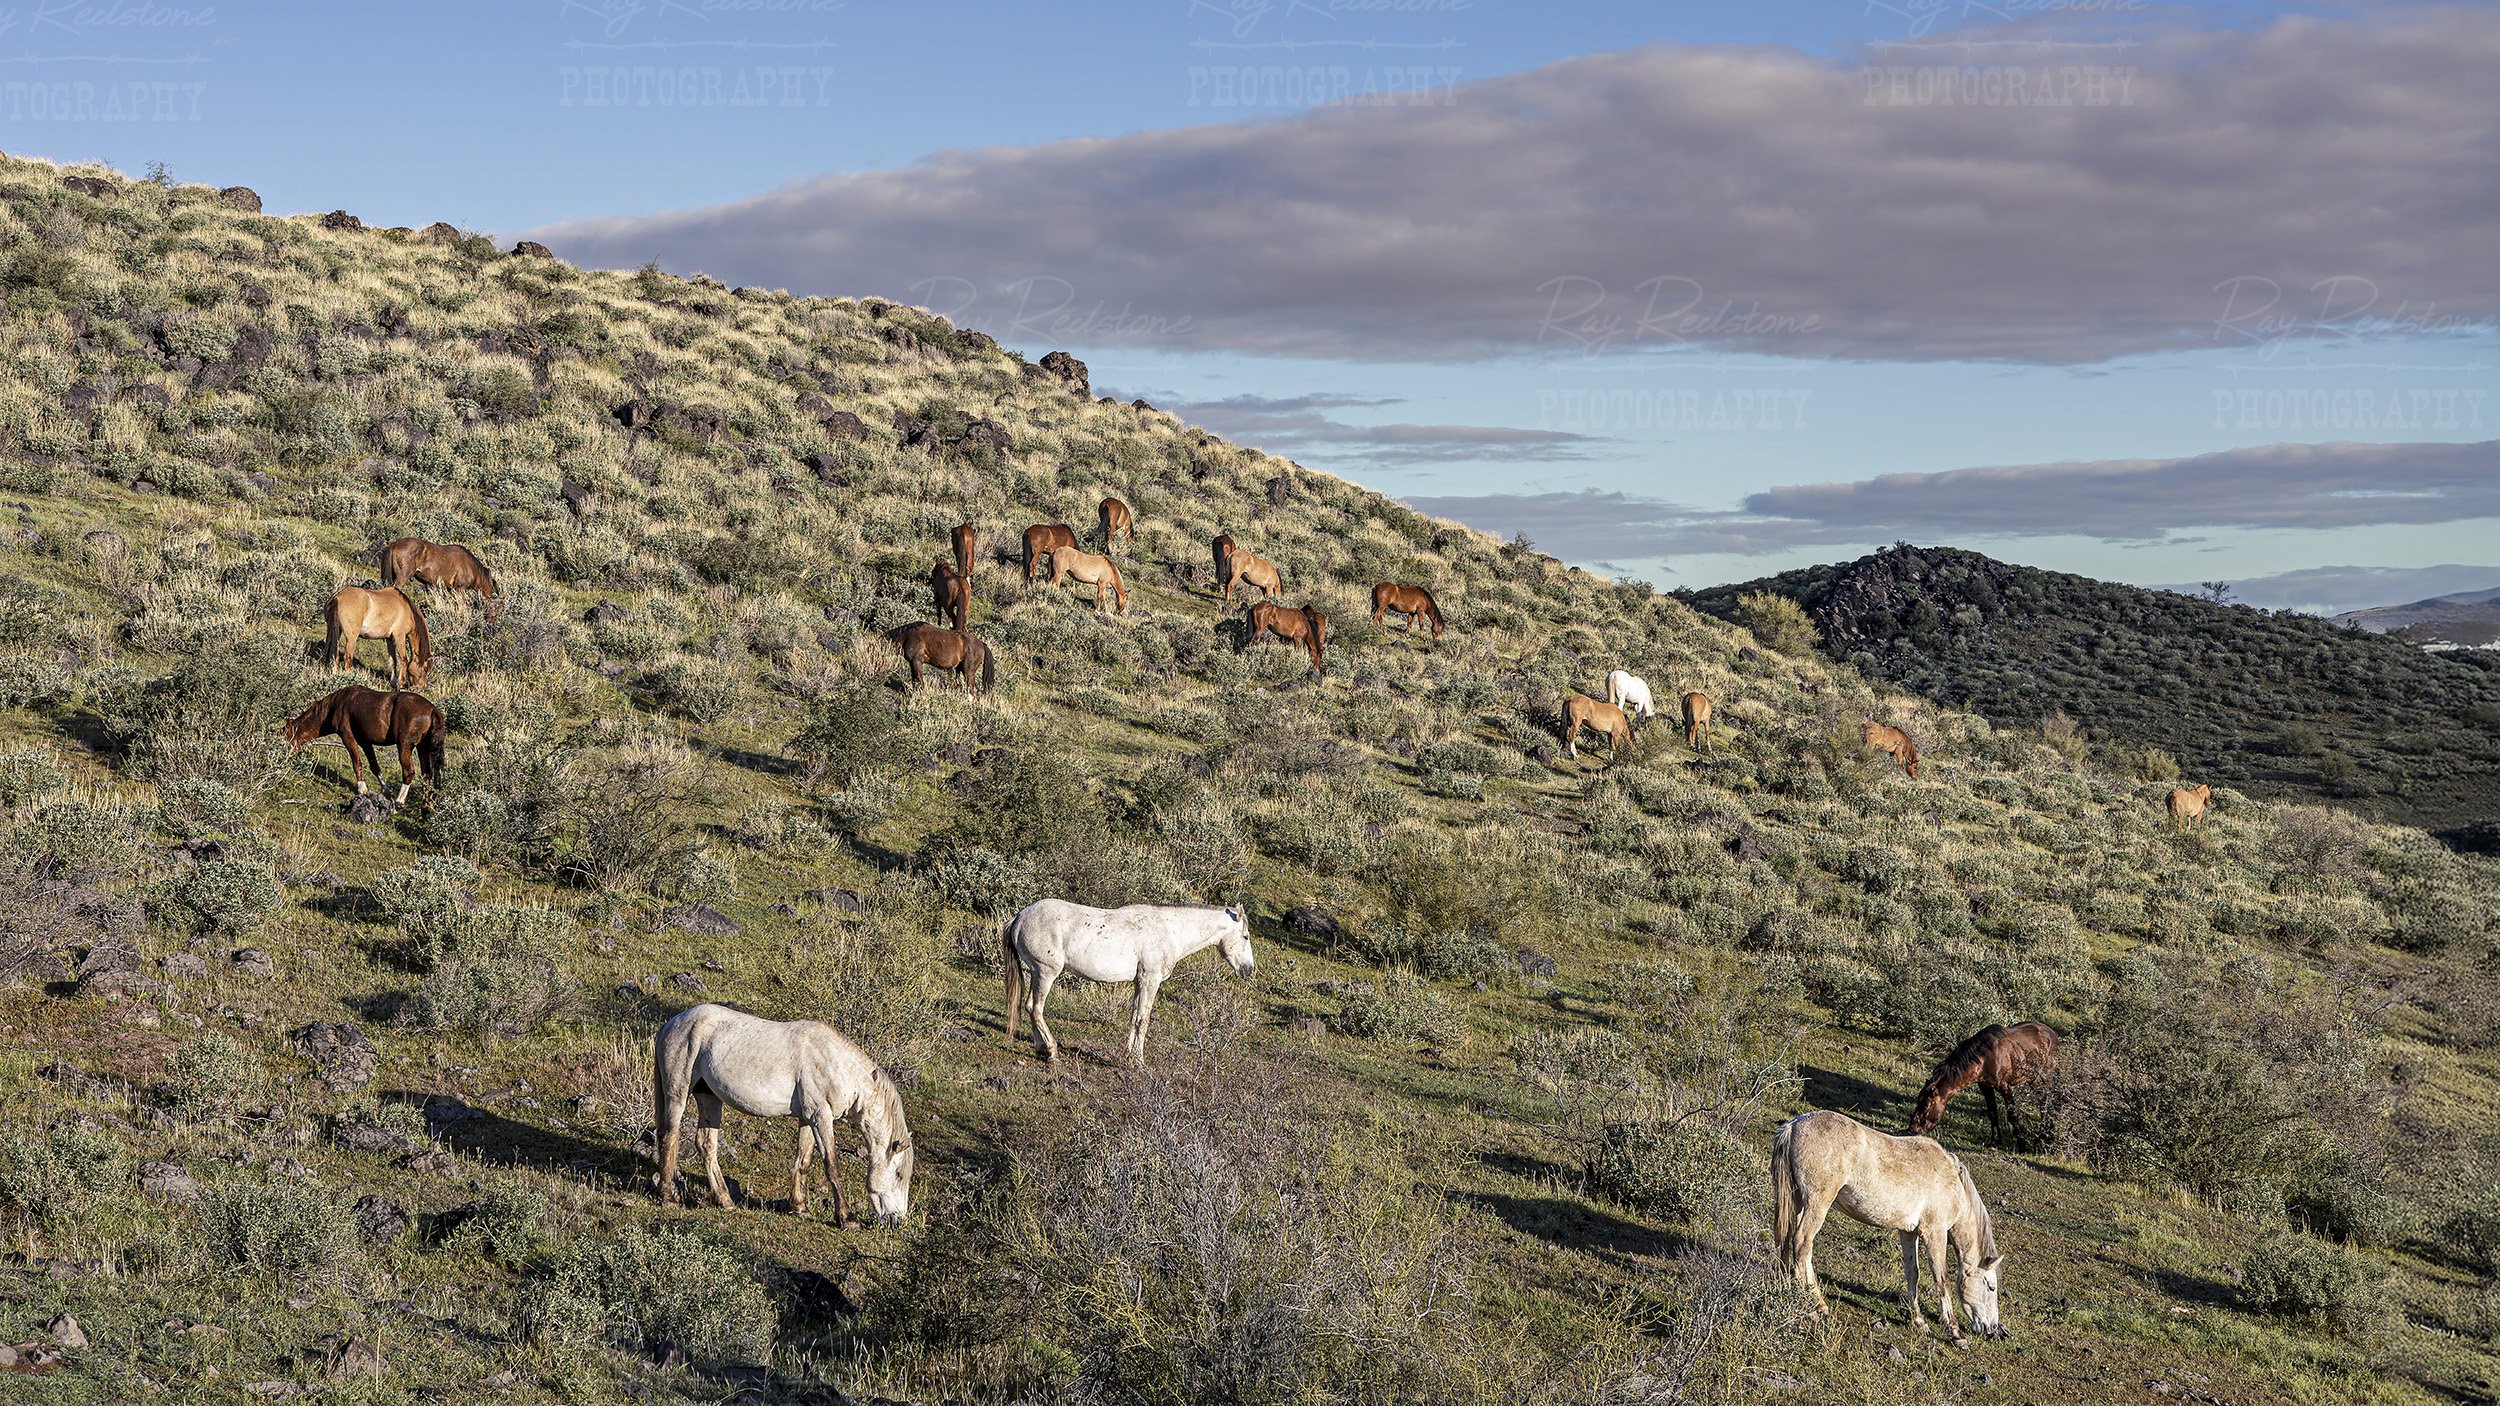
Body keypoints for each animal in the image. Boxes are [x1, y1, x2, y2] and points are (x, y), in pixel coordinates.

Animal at [280, 685, 444, 804]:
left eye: (286, 739)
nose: (283, 760)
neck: (336, 704)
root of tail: (432, 709)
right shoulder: (365, 742)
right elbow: (374, 766)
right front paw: (386, 792)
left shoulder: (348, 738)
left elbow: (357, 763)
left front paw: (362, 789)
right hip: (423, 749)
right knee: (427, 776)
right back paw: (424, 810)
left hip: (404, 747)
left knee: (409, 772)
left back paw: (399, 803)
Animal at [653, 1003, 915, 1226]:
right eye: (899, 1174)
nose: (898, 1220)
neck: (835, 1064)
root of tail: (671, 1023)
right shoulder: (821, 1117)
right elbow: (832, 1165)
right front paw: (847, 1218)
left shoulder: (808, 1119)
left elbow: (804, 1161)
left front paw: (799, 1207)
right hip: (678, 1092)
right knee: (669, 1136)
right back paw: (669, 1197)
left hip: (709, 1097)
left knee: (706, 1145)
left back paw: (725, 1200)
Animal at [1003, 899, 1256, 1067]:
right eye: (1245, 937)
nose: (1249, 969)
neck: (1169, 930)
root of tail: (1019, 917)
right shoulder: (1150, 981)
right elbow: (1143, 1021)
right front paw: (1139, 1062)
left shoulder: (1139, 983)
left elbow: (1134, 1018)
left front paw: (1129, 1057)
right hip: (1046, 973)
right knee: (1036, 1008)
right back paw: (1052, 1052)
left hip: (1037, 973)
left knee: (1030, 1007)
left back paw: (1040, 1049)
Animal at [1773, 1110, 2005, 1342]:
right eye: (1991, 1287)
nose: (1992, 1328)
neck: (1951, 1180)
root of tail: (1793, 1126)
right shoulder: (1935, 1232)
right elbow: (1942, 1279)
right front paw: (1954, 1331)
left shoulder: (1909, 1232)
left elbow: (1913, 1272)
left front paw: (1918, 1321)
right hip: (1817, 1203)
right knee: (1802, 1244)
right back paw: (1811, 1306)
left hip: (1799, 1202)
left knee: (1797, 1247)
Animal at [1910, 1022, 2061, 1149]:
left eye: (1926, 1106)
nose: (1911, 1130)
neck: (1986, 1057)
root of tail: (2053, 1035)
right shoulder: (1986, 1087)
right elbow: (1992, 1113)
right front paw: (1995, 1142)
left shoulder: (2004, 1086)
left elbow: (2012, 1114)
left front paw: (2022, 1145)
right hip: (2034, 1081)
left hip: (2044, 1078)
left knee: (2046, 1102)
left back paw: (2045, 1136)